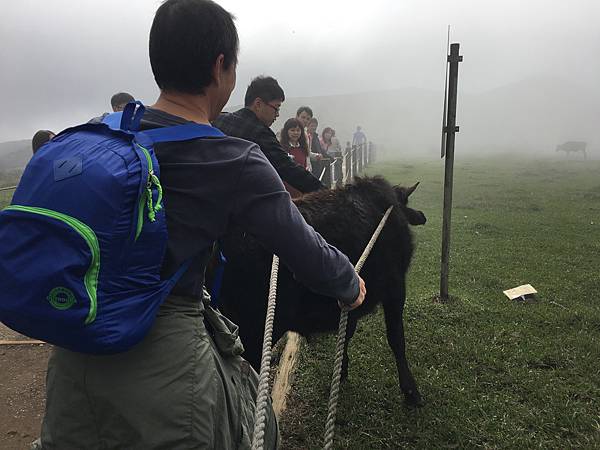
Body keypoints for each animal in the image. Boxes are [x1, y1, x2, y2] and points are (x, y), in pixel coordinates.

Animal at [211, 177, 426, 408]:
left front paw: (342, 370)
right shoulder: (395, 288)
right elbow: (396, 338)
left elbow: (347, 332)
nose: (422, 216)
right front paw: (411, 391)